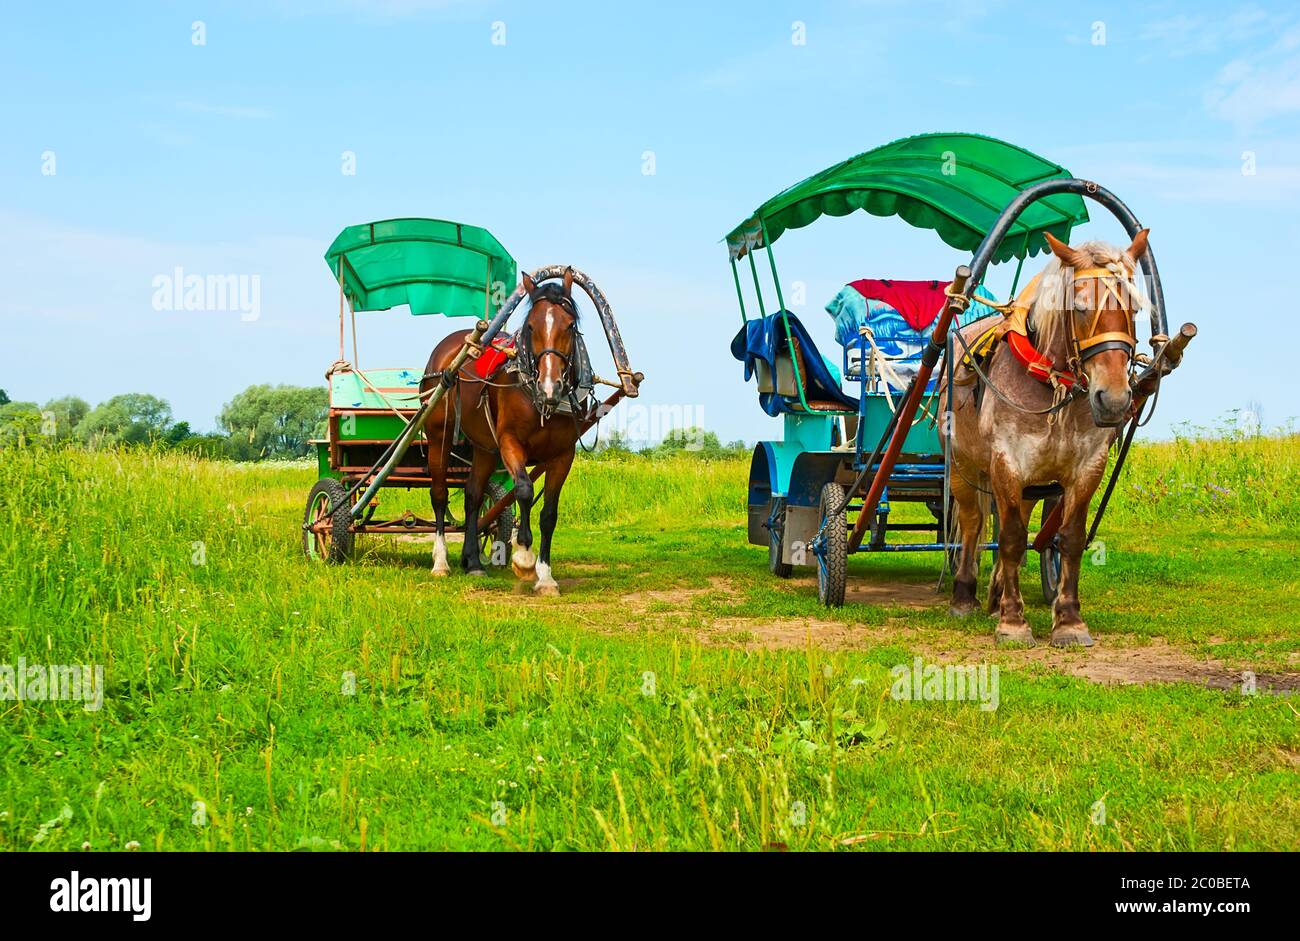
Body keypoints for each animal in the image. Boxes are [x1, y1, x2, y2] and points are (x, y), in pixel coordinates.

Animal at [418, 267, 587, 592]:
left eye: (570, 325)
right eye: (531, 326)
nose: (550, 386)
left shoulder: (563, 454)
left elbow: (549, 513)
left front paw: (546, 576)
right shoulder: (509, 442)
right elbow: (523, 489)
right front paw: (523, 556)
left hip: (484, 447)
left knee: (473, 495)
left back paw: (472, 561)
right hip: (438, 435)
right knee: (440, 494)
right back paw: (441, 561)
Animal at [946, 230, 1149, 647]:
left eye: (1134, 310)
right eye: (1081, 308)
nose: (1114, 399)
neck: (1052, 385)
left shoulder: (1087, 469)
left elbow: (1068, 539)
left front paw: (1069, 620)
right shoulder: (1006, 464)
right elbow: (1008, 537)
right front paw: (1012, 622)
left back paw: (995, 593)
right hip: (963, 466)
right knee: (973, 523)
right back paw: (964, 595)